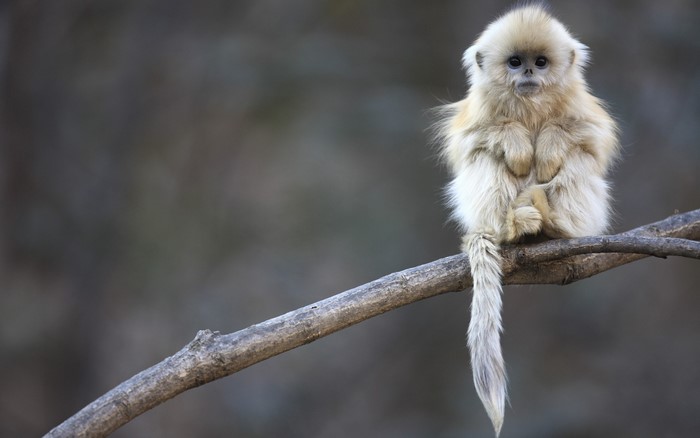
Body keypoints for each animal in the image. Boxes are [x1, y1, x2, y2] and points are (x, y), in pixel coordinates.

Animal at [435, 4, 619, 436]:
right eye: (515, 62)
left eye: (541, 62)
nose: (529, 74)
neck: (530, 106)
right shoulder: (476, 114)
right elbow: (472, 141)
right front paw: (517, 144)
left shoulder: (583, 110)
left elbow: (592, 139)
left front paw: (549, 145)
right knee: (485, 158)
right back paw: (513, 227)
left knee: (579, 158)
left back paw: (553, 224)